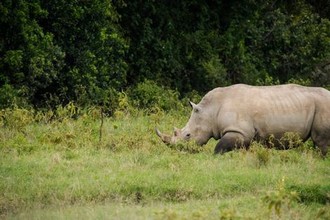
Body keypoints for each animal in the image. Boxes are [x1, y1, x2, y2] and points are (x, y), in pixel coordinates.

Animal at [156, 84, 330, 155]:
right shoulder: (244, 135)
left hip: (323, 105)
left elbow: (219, 147)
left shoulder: (239, 130)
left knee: (321, 142)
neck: (210, 112)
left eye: (188, 135)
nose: (178, 150)